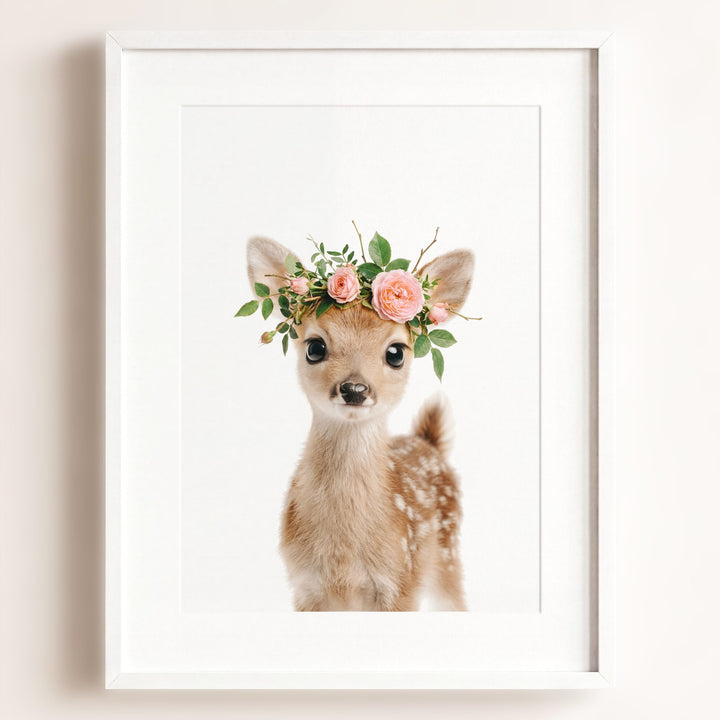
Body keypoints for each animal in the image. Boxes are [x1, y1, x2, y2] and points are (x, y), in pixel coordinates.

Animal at [246, 235, 475, 611]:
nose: (354, 389)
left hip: (448, 555)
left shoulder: (401, 582)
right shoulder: (304, 586)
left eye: (396, 352)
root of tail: (428, 442)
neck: (343, 556)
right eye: (315, 347)